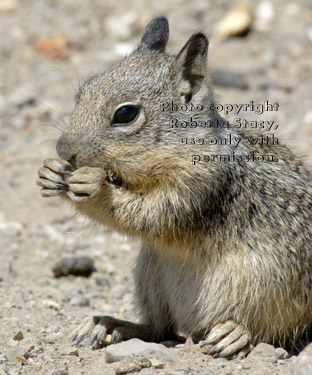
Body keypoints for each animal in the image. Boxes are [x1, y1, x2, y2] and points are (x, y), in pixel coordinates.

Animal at [36, 16, 312, 358]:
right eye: (83, 91)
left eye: (125, 113)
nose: (64, 150)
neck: (182, 146)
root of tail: (193, 326)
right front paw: (50, 172)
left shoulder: (197, 186)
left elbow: (148, 215)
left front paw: (94, 187)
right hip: (151, 277)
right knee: (158, 329)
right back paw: (110, 325)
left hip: (266, 290)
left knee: (266, 331)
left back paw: (234, 333)